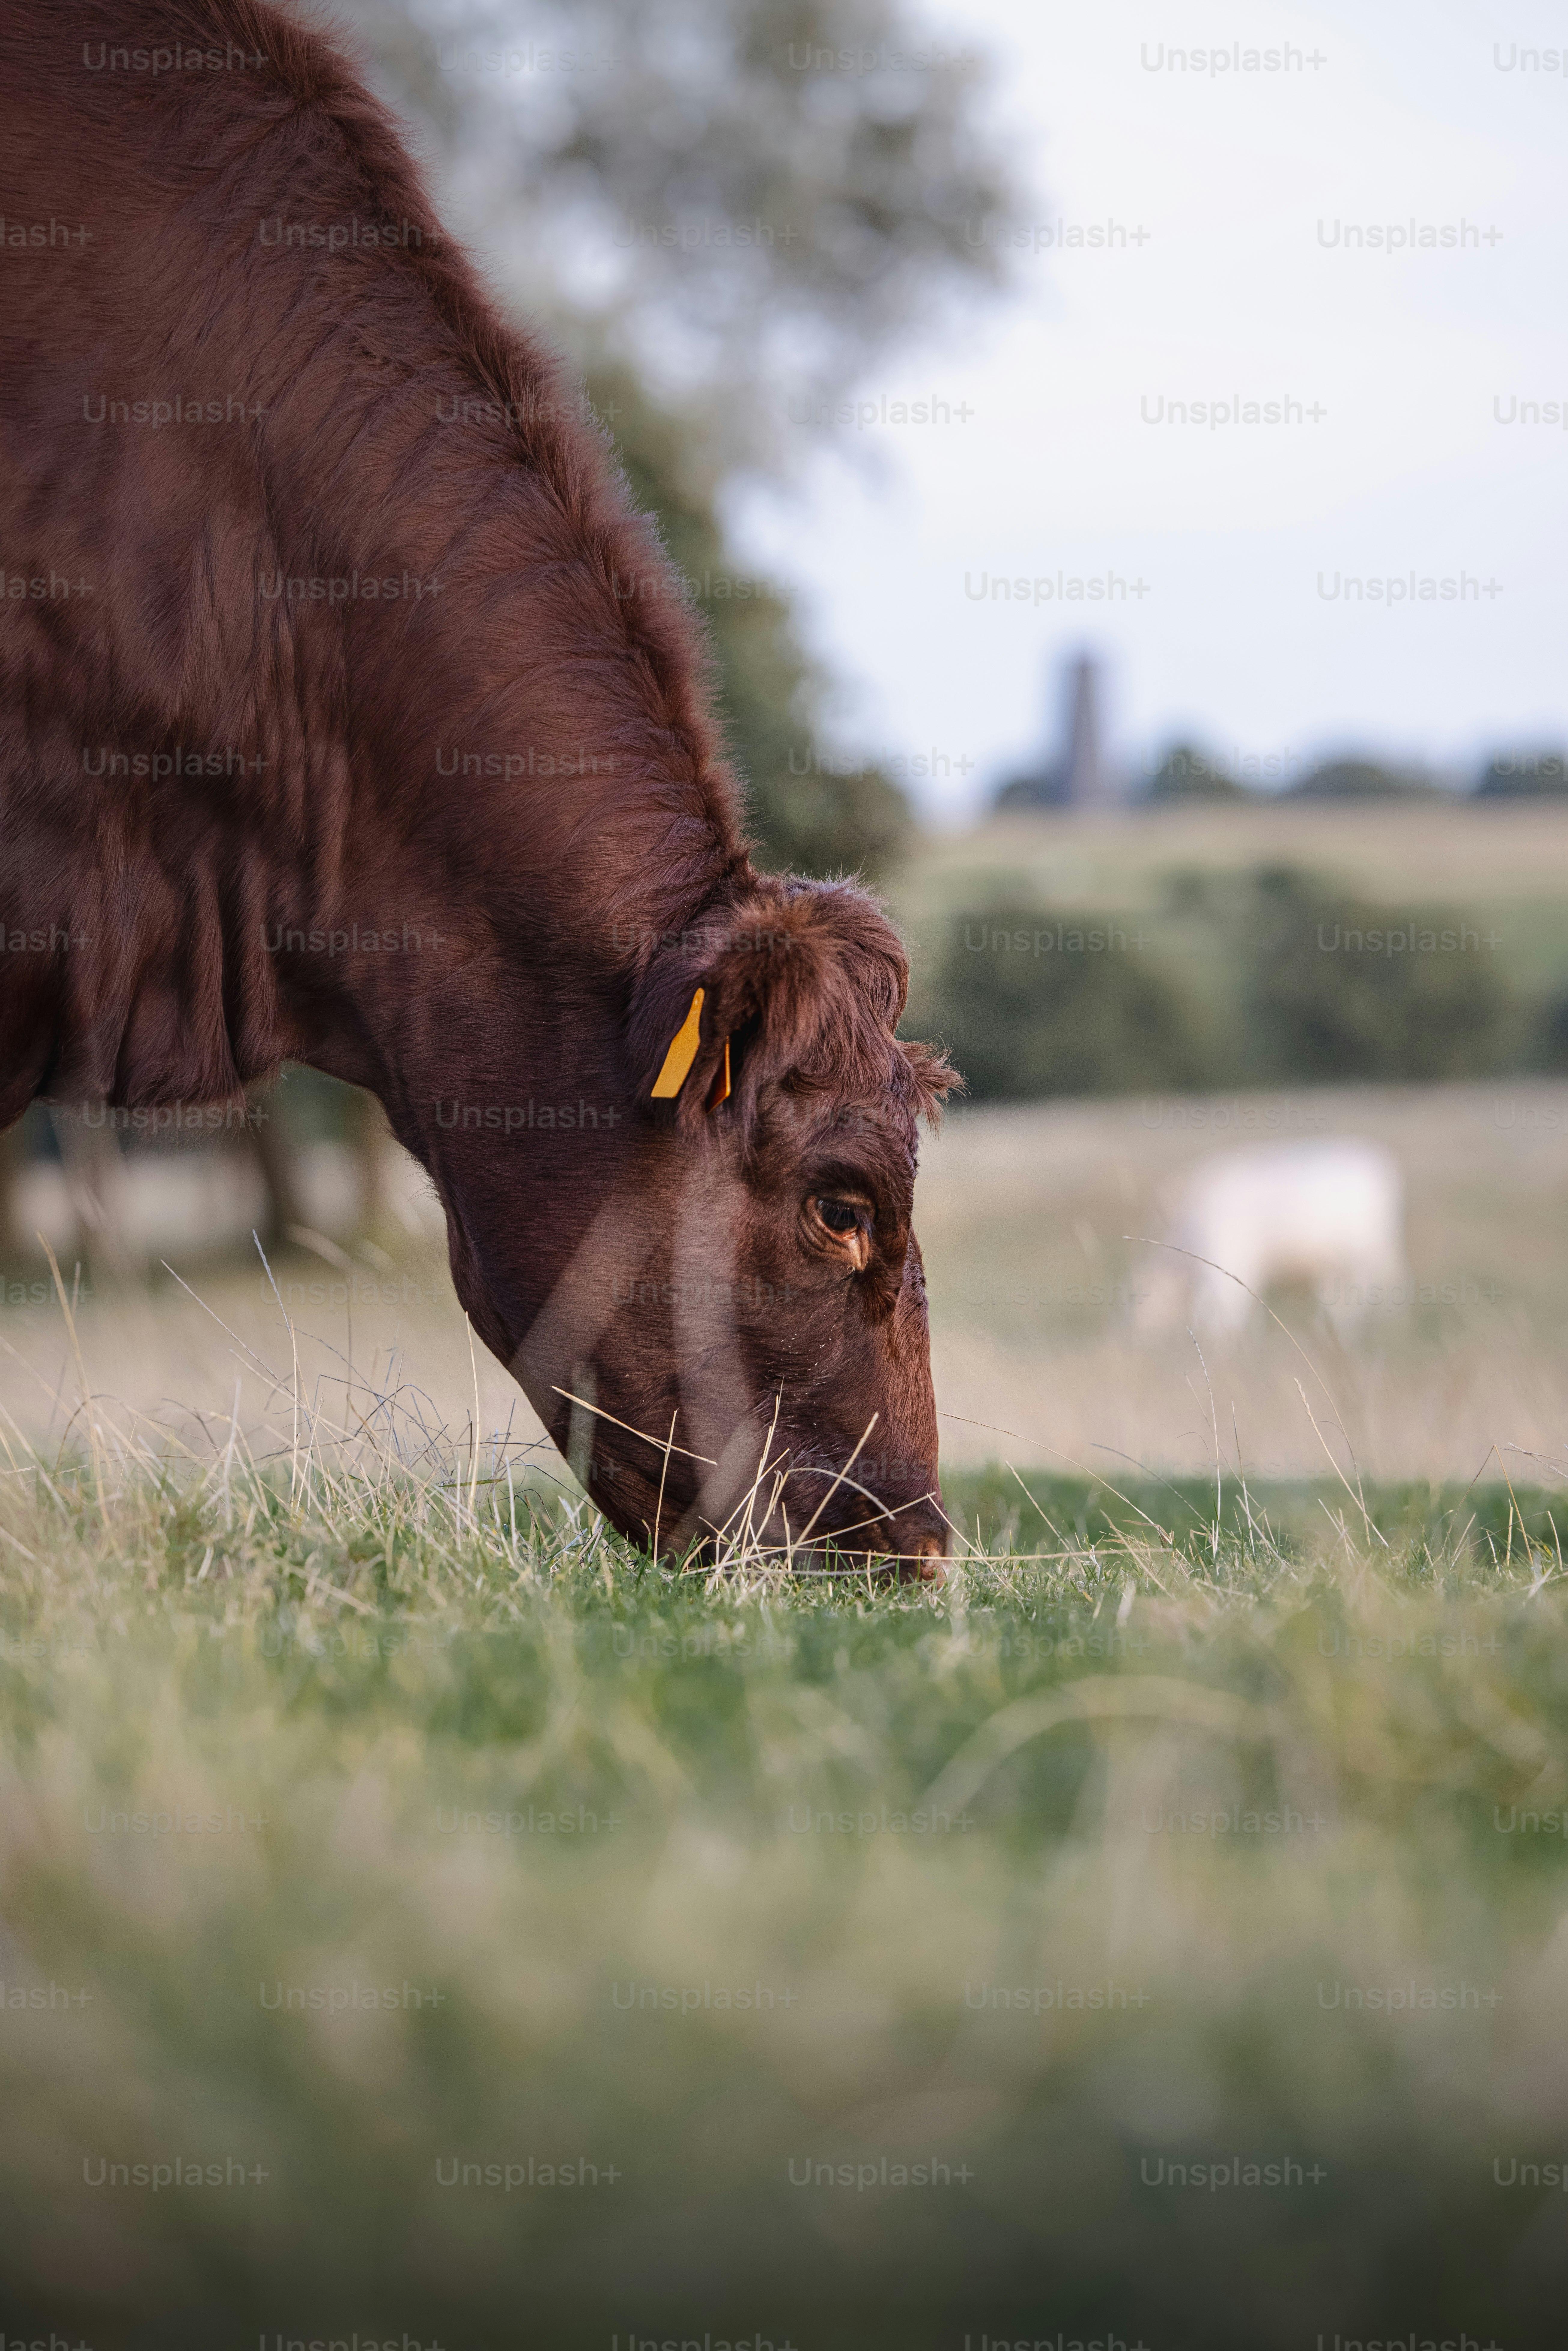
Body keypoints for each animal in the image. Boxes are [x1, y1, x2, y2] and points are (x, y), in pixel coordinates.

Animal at [1135, 1138, 1407, 1337]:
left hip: (1370, 1253)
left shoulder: (1231, 1259)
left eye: (1135, 1299)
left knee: (1388, 1285)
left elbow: (1218, 1315)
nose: (1134, 1338)